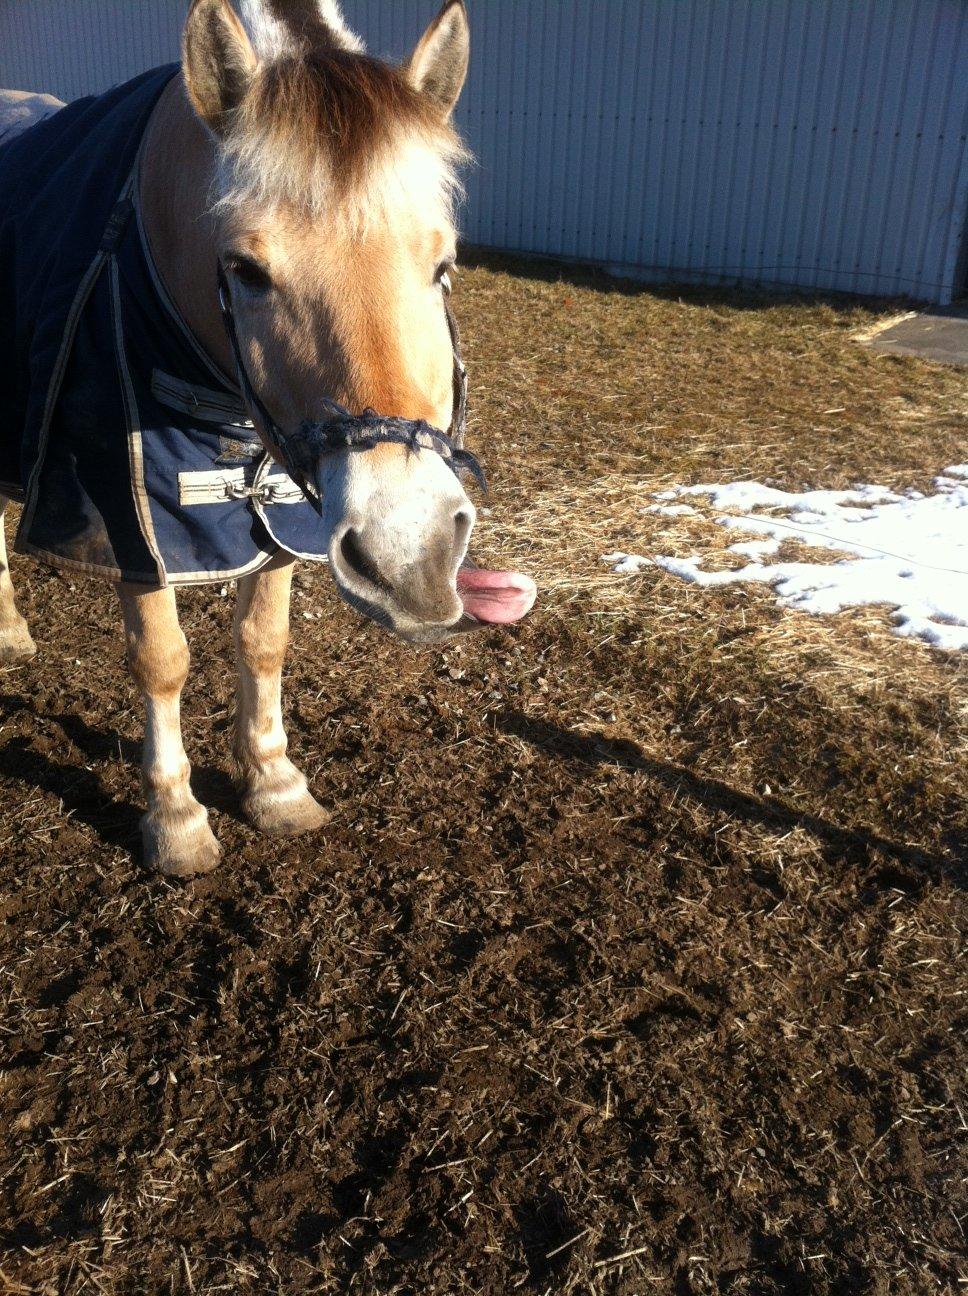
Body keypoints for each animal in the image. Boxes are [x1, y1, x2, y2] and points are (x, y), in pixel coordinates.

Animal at [0, 0, 536, 876]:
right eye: (247, 271)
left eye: (444, 266)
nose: (412, 554)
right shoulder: (128, 521)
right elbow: (162, 659)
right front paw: (177, 817)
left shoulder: (285, 503)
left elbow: (263, 642)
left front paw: (274, 784)